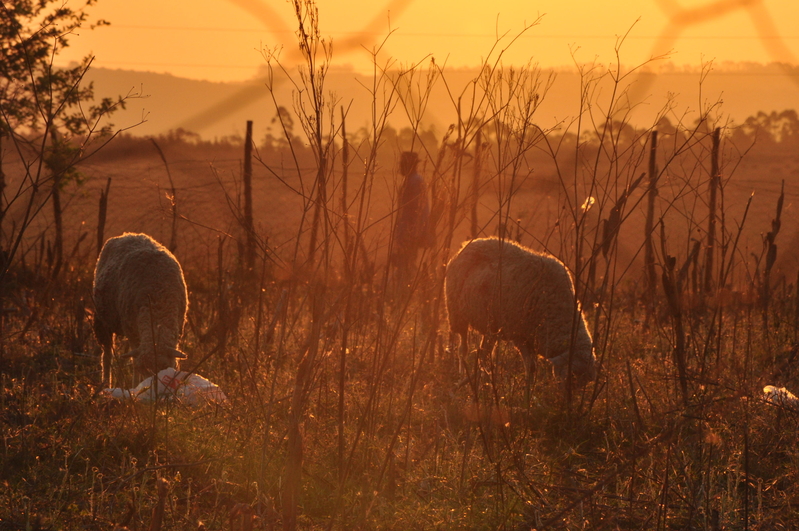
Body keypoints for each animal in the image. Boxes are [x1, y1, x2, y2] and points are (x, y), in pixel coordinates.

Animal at [93, 233, 188, 388]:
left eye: (165, 367)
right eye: (143, 369)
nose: (152, 387)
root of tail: (128, 234)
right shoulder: (132, 333)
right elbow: (133, 362)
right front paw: (136, 386)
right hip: (103, 321)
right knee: (107, 355)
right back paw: (106, 385)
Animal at [444, 237, 597, 386]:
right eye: (570, 377)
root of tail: (470, 243)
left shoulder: (532, 336)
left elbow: (532, 367)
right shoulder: (520, 335)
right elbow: (530, 366)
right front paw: (527, 391)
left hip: (491, 328)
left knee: (483, 355)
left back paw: (483, 381)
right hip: (457, 315)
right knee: (463, 350)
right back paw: (464, 378)